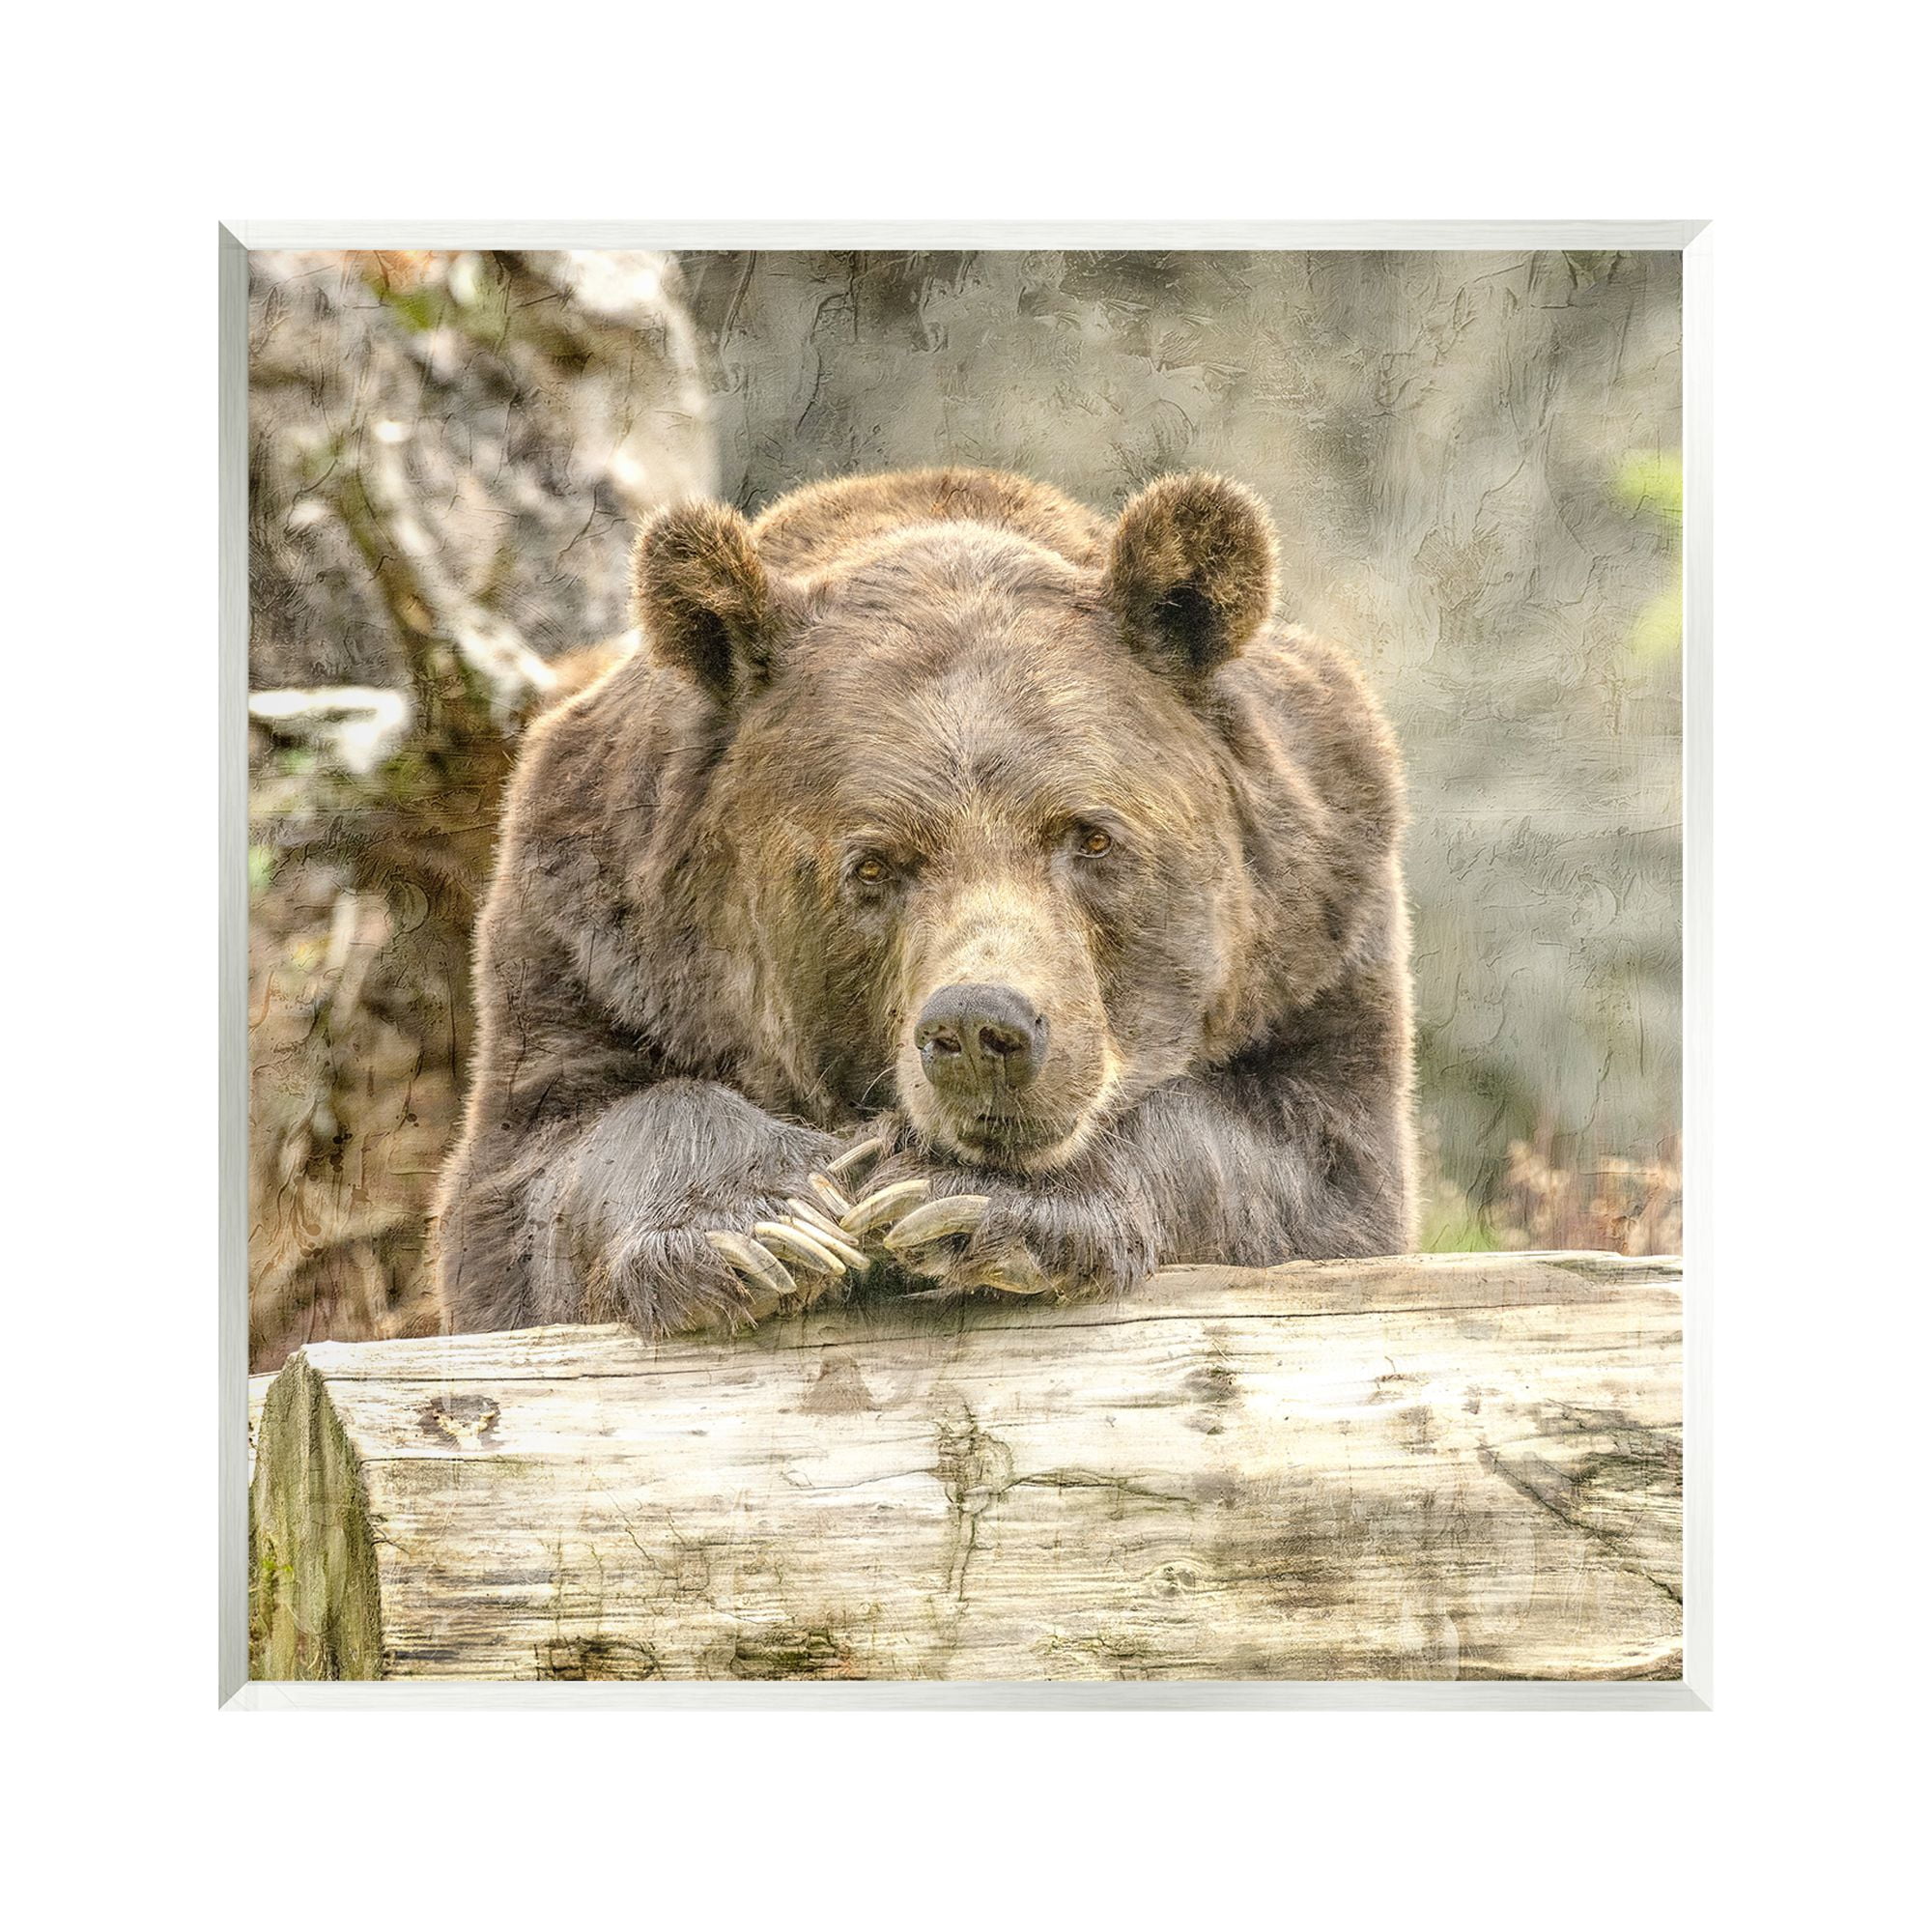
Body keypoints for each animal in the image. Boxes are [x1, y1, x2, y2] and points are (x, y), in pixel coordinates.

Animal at [432, 466, 1415, 1334]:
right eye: (873, 865)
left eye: (1090, 836)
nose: (981, 1029)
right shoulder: (593, 941)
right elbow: (542, 1167)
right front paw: (767, 1225)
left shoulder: (1318, 931)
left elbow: (1300, 1162)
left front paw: (961, 1199)